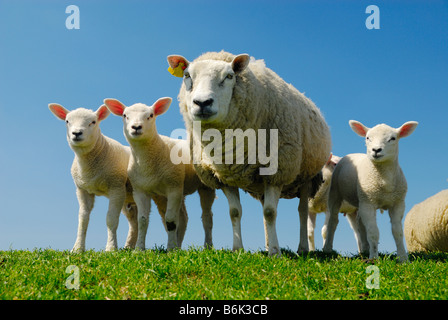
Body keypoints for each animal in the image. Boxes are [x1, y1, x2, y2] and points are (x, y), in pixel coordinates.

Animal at [48, 104, 139, 251]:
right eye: (67, 121)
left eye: (93, 122)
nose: (76, 133)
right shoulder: (82, 190)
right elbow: (83, 219)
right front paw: (77, 249)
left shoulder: (116, 187)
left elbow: (111, 219)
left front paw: (111, 248)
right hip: (129, 199)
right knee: (134, 221)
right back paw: (129, 247)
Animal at [105, 96, 217, 251]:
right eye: (125, 115)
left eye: (150, 115)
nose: (136, 127)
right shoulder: (140, 190)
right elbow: (142, 220)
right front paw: (139, 249)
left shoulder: (173, 187)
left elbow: (170, 220)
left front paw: (170, 248)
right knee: (183, 218)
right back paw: (178, 245)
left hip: (204, 186)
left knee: (207, 217)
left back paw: (207, 246)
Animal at [166, 50, 330, 255]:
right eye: (187, 75)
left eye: (229, 76)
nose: (202, 103)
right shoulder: (224, 177)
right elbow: (235, 212)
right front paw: (238, 249)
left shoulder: (277, 171)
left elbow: (270, 212)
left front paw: (275, 252)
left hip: (306, 175)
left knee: (302, 211)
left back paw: (302, 248)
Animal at [322, 119, 416, 262]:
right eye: (368, 138)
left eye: (393, 138)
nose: (376, 150)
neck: (385, 182)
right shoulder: (369, 203)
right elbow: (373, 232)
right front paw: (374, 258)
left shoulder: (398, 203)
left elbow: (397, 232)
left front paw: (403, 258)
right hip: (335, 193)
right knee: (333, 221)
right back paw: (327, 248)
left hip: (361, 199)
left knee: (360, 223)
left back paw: (365, 249)